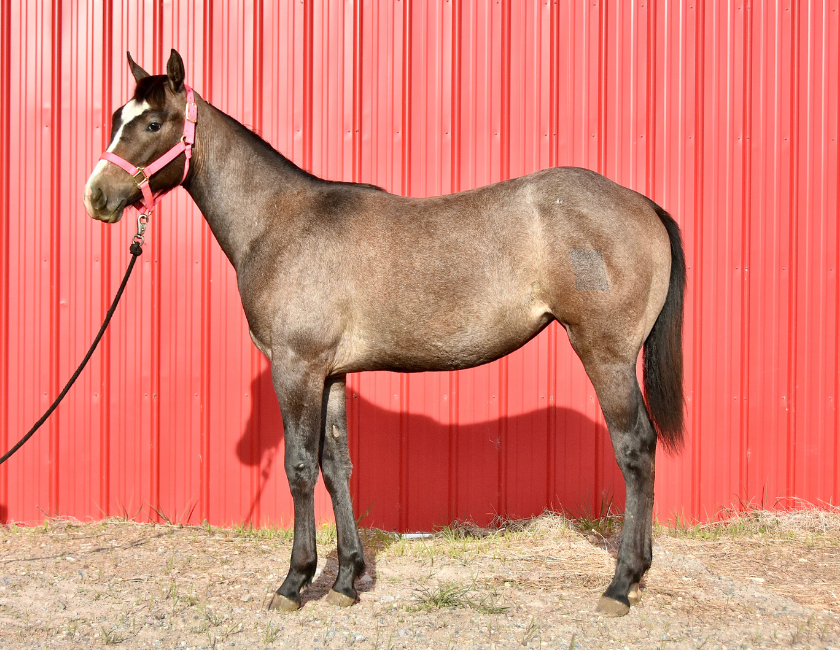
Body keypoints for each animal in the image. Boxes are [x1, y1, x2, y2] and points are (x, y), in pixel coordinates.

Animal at [84, 49, 685, 617]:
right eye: (117, 117)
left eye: (153, 123)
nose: (96, 196)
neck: (281, 223)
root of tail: (641, 203)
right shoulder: (330, 374)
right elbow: (336, 468)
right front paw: (347, 581)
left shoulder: (296, 367)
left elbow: (299, 468)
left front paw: (295, 582)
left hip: (605, 354)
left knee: (636, 448)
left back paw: (621, 584)